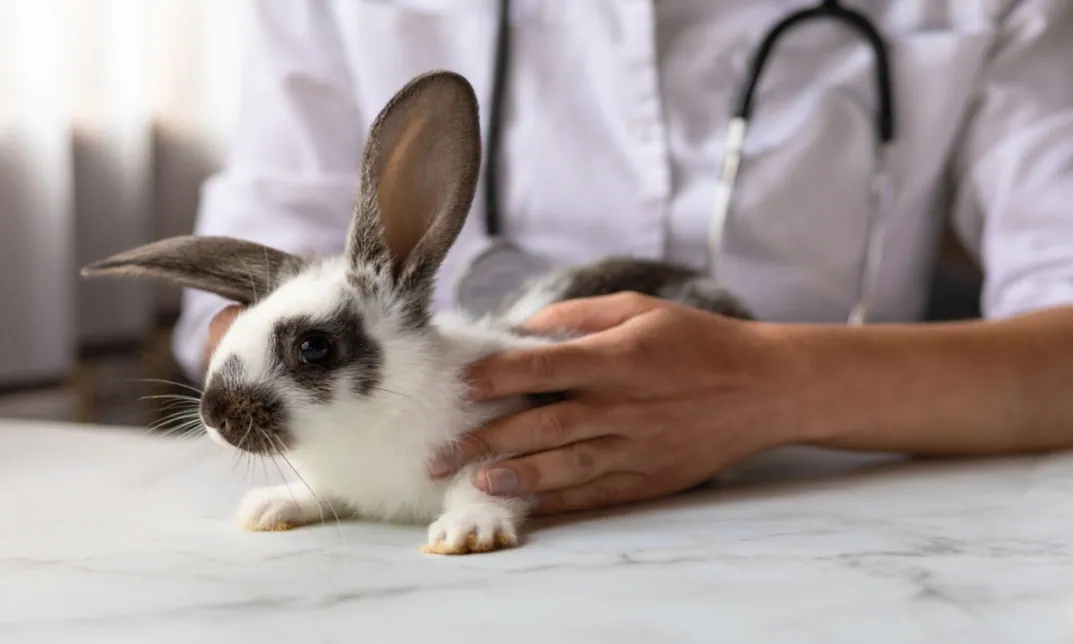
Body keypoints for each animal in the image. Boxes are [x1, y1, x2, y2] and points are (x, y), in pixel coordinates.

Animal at [81, 69, 755, 553]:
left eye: (314, 348)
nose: (215, 415)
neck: (368, 423)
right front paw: (270, 508)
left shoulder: (501, 446)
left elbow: (482, 486)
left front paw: (467, 533)